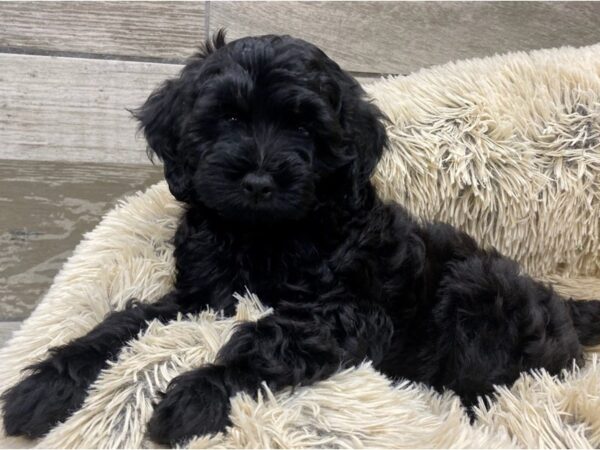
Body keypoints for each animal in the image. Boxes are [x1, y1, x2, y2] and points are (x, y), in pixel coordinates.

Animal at [3, 32, 600, 446]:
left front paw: (196, 394)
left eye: (304, 129)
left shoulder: (352, 311)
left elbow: (268, 338)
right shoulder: (199, 295)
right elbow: (123, 324)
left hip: (475, 295)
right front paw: (46, 385)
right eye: (227, 119)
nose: (259, 180)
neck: (262, 235)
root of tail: (560, 304)